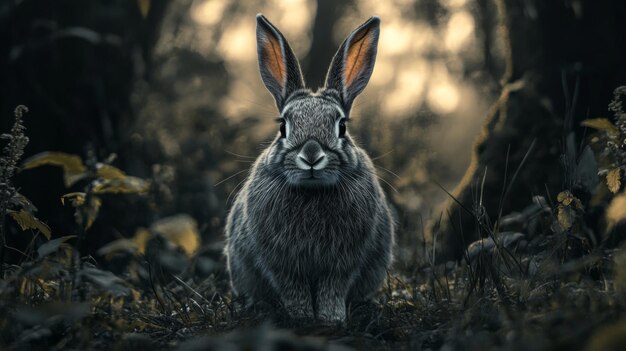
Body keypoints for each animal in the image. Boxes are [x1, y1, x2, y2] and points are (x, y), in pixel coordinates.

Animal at [222, 14, 392, 324]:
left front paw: (331, 319)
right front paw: (301, 317)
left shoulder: (342, 263)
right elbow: (293, 288)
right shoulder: (282, 263)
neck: (312, 192)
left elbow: (332, 287)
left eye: (342, 126)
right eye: (283, 127)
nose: (311, 155)